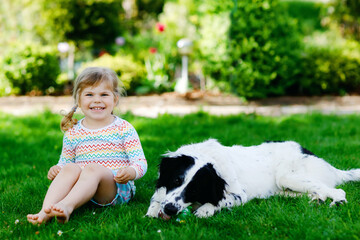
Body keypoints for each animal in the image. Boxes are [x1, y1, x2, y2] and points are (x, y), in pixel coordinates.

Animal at [146, 139, 360, 219]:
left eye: (194, 189)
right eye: (176, 181)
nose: (170, 210)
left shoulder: (239, 194)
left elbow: (220, 200)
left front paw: (205, 209)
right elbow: (157, 198)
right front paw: (154, 210)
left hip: (287, 177)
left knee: (337, 190)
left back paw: (337, 201)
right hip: (284, 190)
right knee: (317, 191)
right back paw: (317, 200)